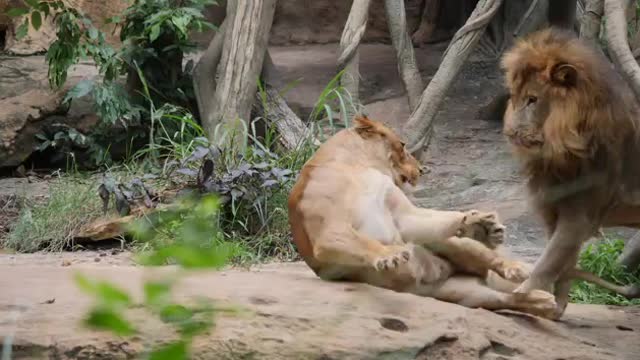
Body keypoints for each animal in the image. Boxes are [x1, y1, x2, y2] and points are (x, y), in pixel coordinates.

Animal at [288, 115, 556, 318]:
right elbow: (364, 242)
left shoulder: (402, 213)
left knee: (487, 259)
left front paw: (476, 221)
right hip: (462, 294)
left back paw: (511, 261)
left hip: (453, 245)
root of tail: (445, 272)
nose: (421, 169)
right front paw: (391, 255)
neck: (358, 166)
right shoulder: (328, 231)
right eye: (403, 144)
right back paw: (544, 302)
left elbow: (429, 217)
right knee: (504, 298)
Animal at [502, 28, 636, 320]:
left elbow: (548, 263)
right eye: (514, 97)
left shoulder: (580, 215)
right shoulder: (555, 210)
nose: (510, 132)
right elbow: (563, 265)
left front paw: (523, 298)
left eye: (532, 99)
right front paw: (554, 307)